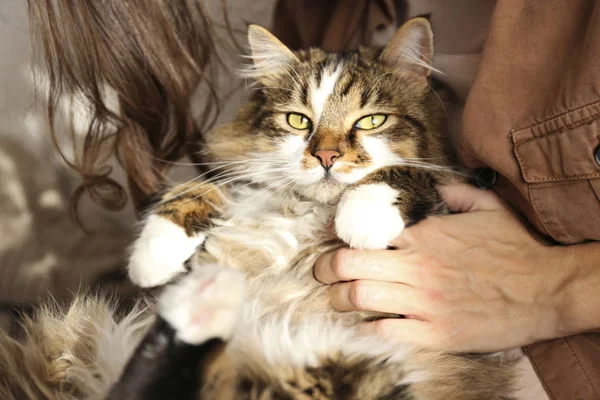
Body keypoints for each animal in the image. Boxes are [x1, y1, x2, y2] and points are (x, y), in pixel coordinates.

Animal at [0, 19, 516, 400]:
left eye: (371, 121)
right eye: (298, 121)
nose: (326, 157)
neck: (304, 207)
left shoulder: (450, 183)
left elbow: (405, 174)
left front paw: (362, 220)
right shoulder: (238, 181)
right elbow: (198, 188)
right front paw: (154, 257)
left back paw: (205, 306)